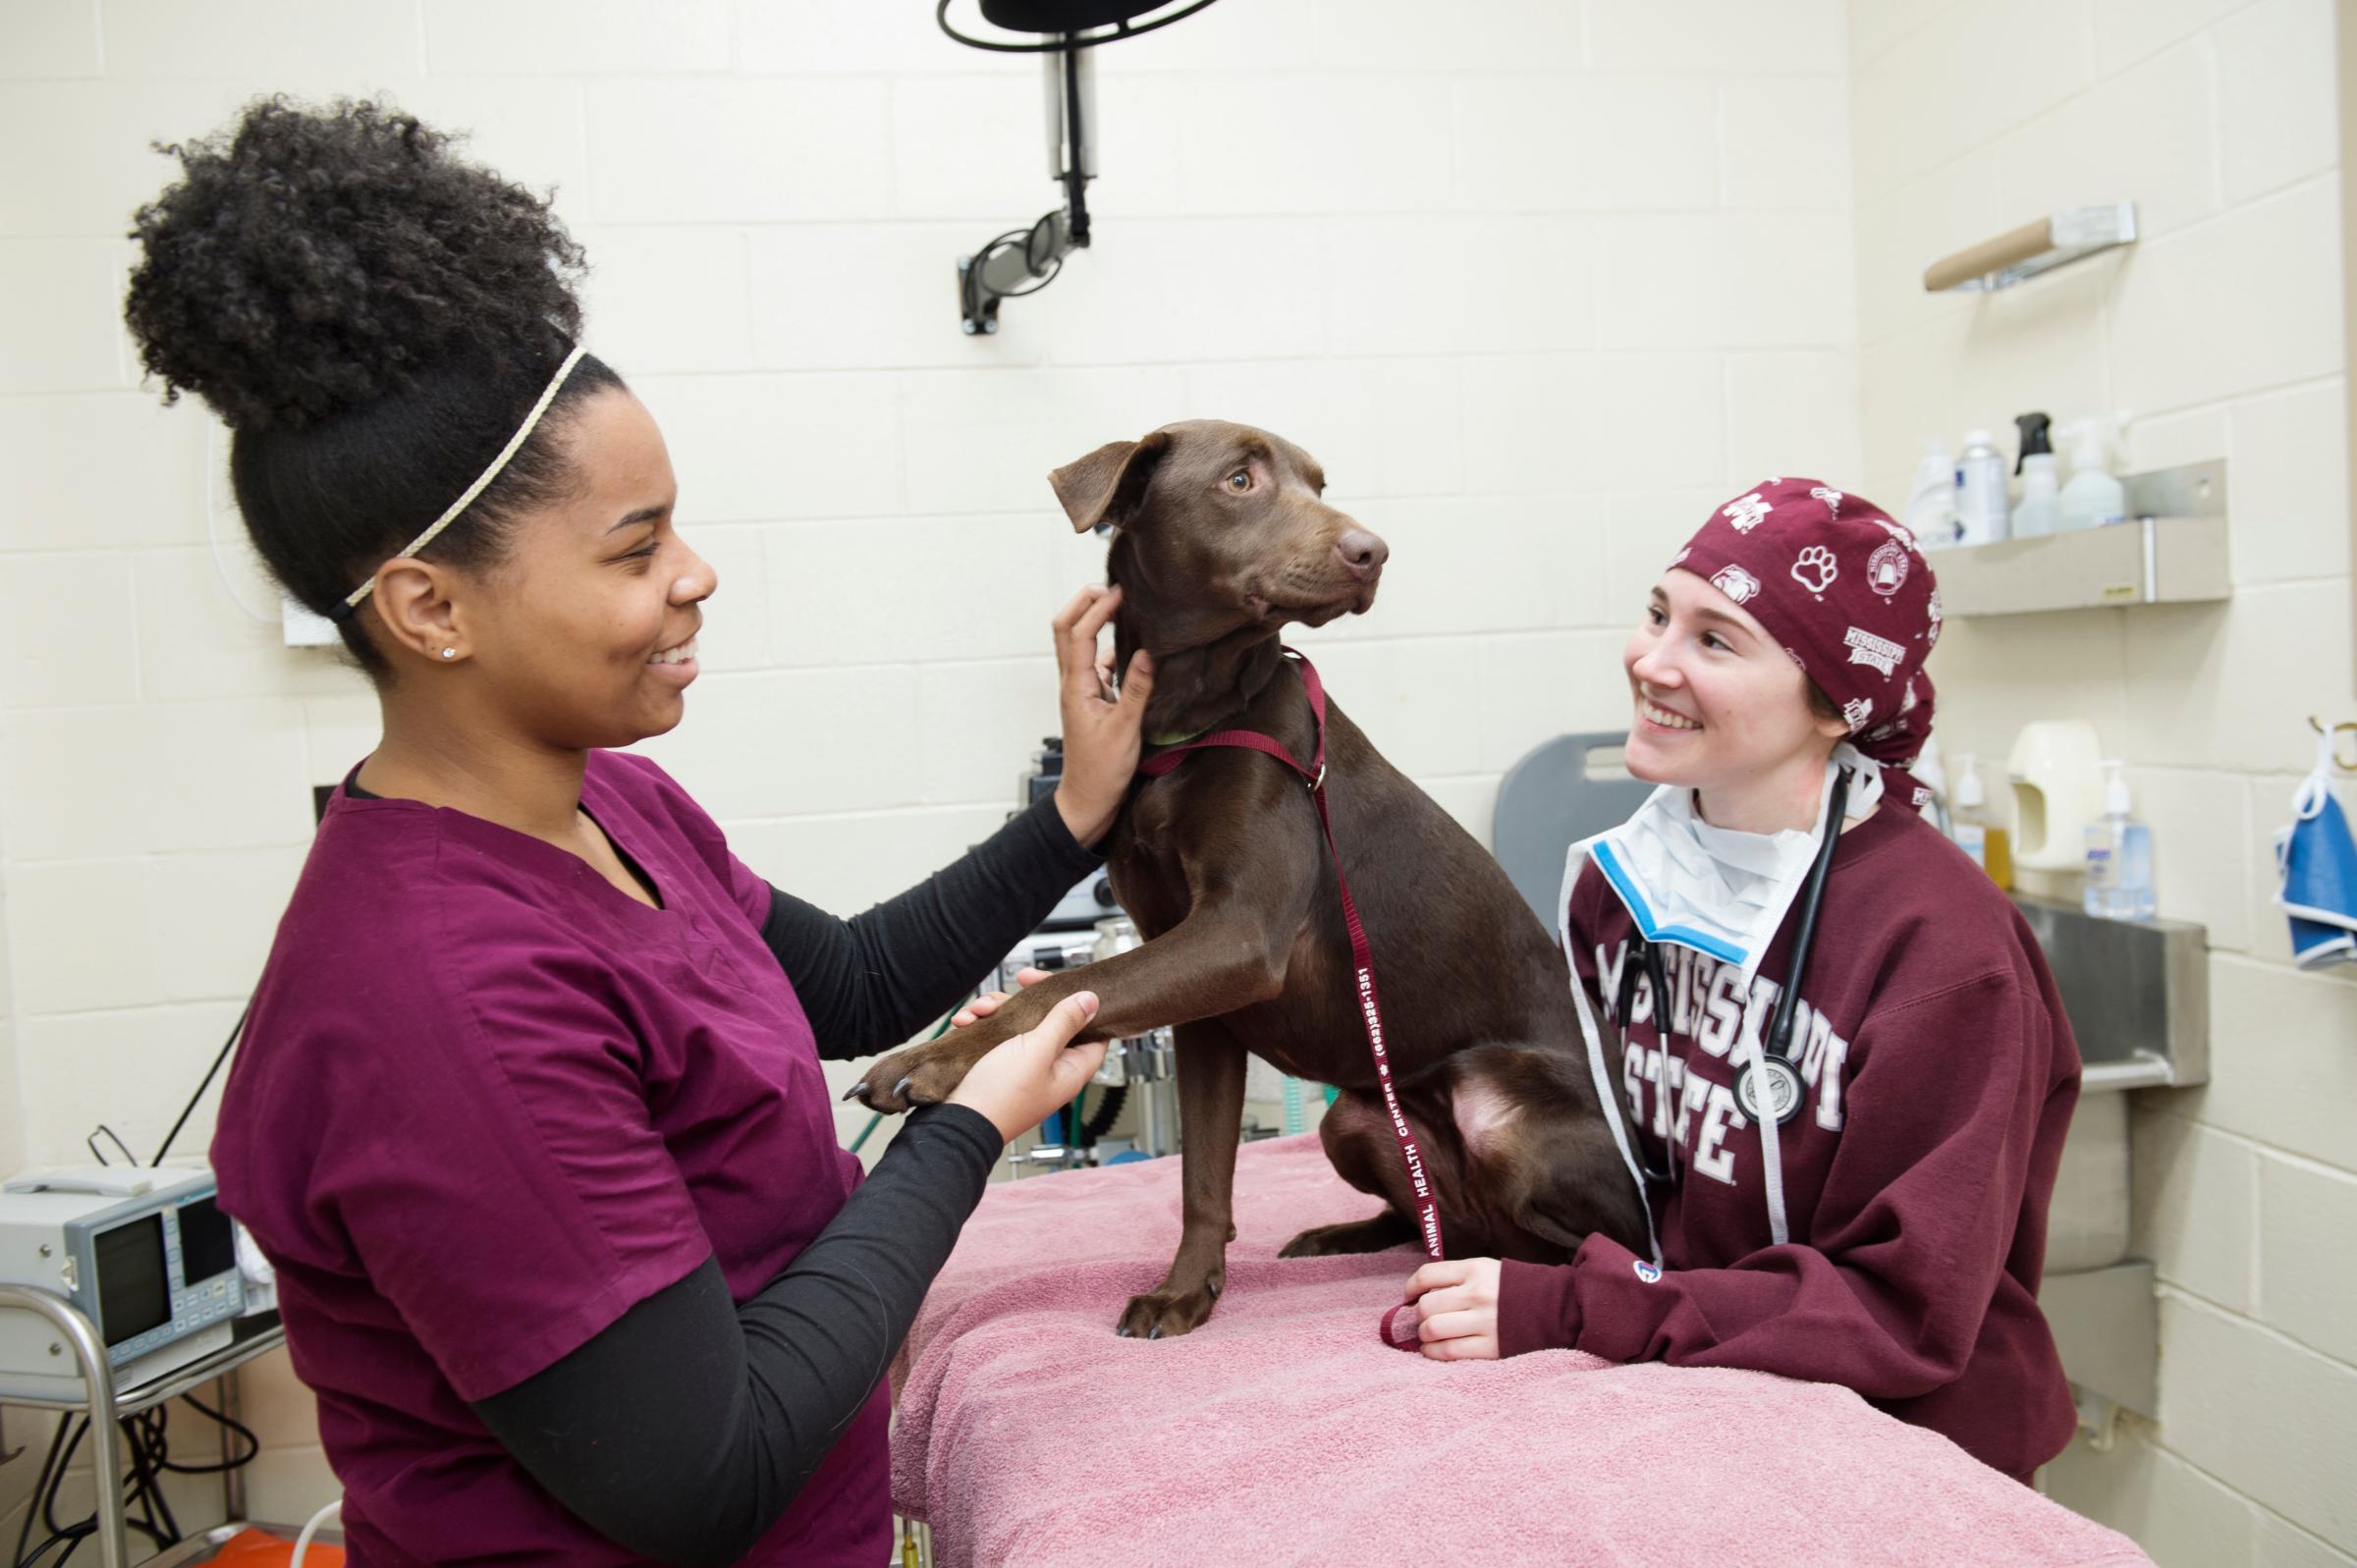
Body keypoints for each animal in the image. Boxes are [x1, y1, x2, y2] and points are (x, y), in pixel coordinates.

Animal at [857, 419, 1650, 1329]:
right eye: (1240, 480)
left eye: (1318, 482)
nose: (1373, 551)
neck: (1188, 725)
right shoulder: (1201, 992)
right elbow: (1203, 1171)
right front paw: (1187, 1289)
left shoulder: (1236, 937)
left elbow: (1054, 988)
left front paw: (936, 1058)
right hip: (1355, 1121)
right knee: (1434, 1219)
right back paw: (1347, 1236)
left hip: (1508, 1123)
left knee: (1592, 1245)